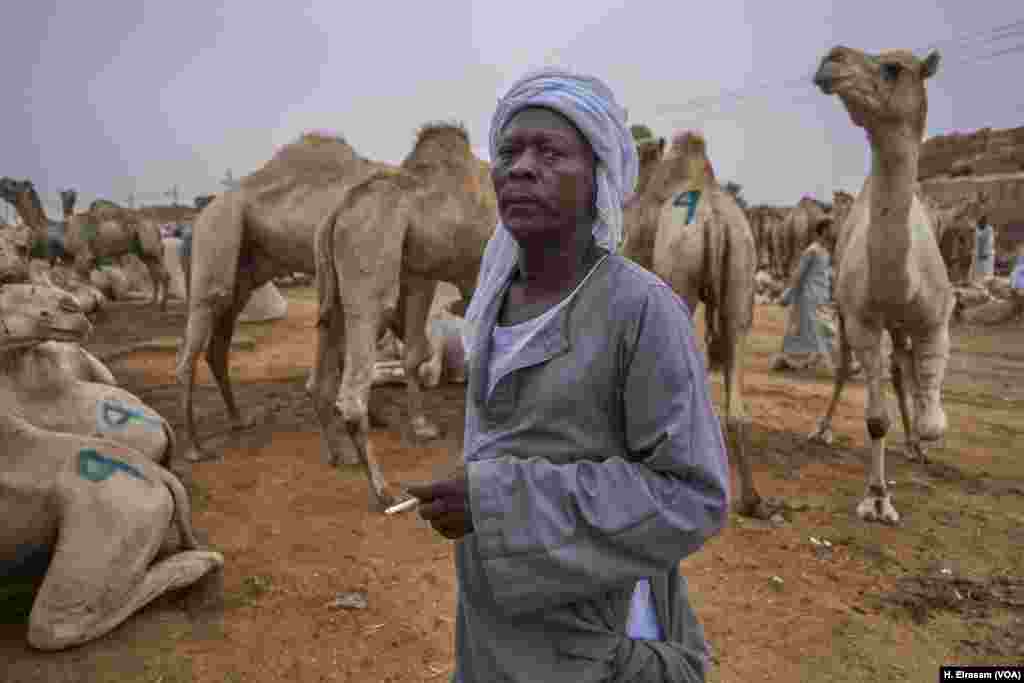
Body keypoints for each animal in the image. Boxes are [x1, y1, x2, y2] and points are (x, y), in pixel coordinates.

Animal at [311, 122, 496, 509]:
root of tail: (339, 212)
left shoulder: (420, 274)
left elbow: (415, 353)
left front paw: (424, 426)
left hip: (327, 277)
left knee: (321, 373)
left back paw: (341, 456)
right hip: (369, 264)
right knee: (352, 395)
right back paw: (385, 493)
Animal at [808, 46, 951, 524]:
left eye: (894, 68)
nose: (832, 59)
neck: (899, 283)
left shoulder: (937, 320)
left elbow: (932, 416)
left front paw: (923, 433)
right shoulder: (863, 319)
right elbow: (875, 418)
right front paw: (877, 498)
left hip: (904, 326)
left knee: (901, 367)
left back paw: (914, 445)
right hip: (846, 312)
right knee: (847, 367)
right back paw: (822, 429)